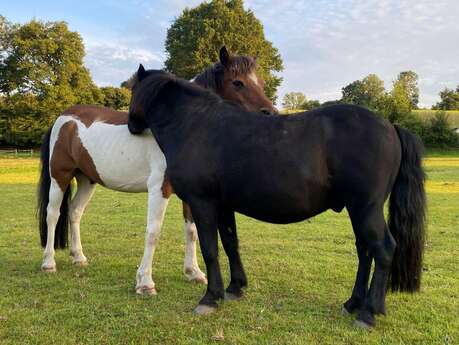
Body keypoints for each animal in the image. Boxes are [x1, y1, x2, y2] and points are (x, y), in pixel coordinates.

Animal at [37, 45, 274, 292]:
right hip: (60, 176)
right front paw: (145, 282)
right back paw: (49, 263)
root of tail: (63, 118)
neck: (181, 127)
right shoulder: (159, 187)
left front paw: (194, 272)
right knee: (53, 214)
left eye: (261, 83)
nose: (271, 113)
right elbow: (153, 232)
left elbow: (191, 231)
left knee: (74, 212)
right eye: (238, 82)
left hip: (87, 179)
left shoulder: (192, 193)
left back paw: (79, 257)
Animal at [128, 67, 428, 328]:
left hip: (367, 208)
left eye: (132, 90)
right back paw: (353, 303)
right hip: (357, 209)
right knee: (365, 251)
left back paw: (368, 313)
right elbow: (230, 243)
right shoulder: (223, 206)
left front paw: (210, 298)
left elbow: (210, 249)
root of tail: (390, 125)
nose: (131, 126)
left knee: (383, 249)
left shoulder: (203, 204)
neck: (195, 125)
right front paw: (235, 287)